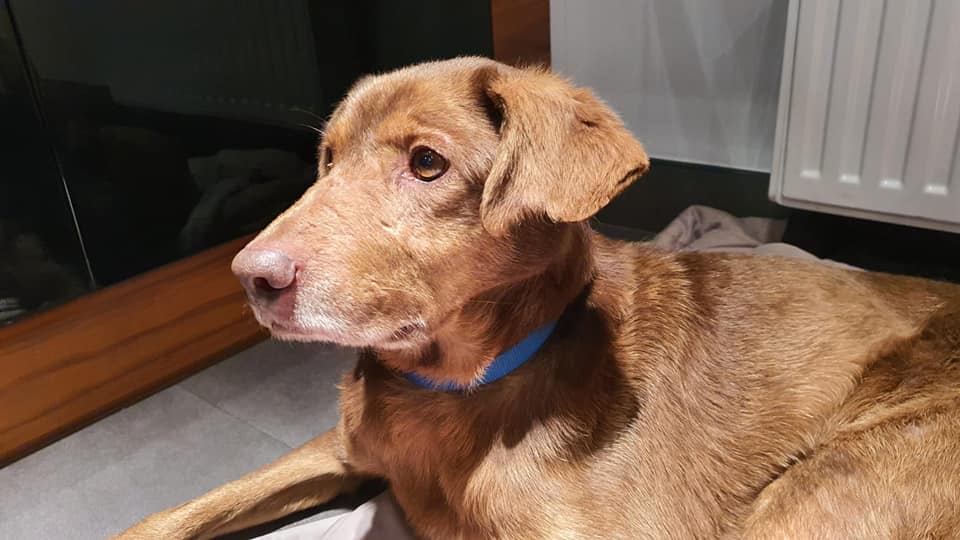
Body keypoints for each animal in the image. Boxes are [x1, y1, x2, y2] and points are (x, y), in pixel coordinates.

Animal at [116, 57, 960, 539]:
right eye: (324, 160)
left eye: (427, 163)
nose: (249, 277)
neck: (452, 391)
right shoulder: (340, 449)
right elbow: (180, 509)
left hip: (824, 488)